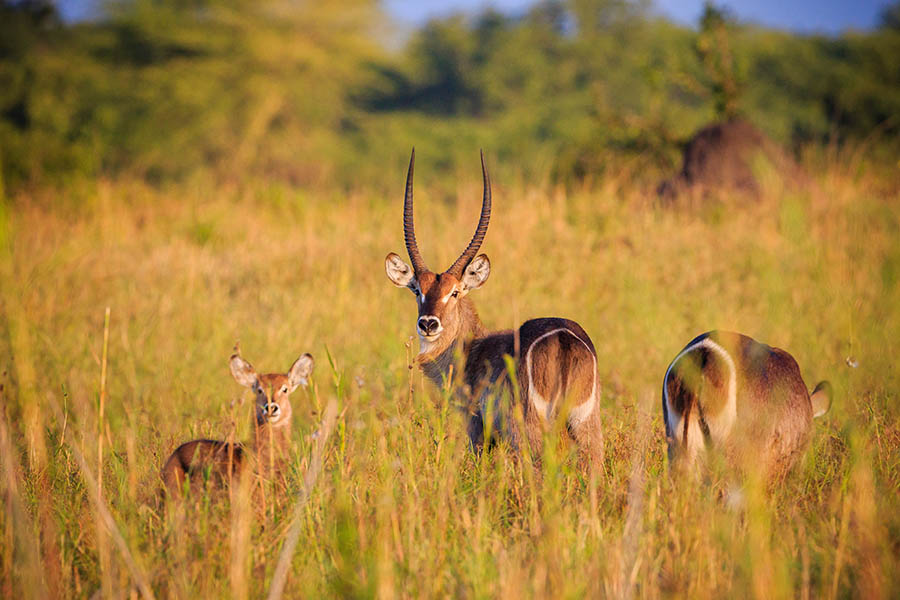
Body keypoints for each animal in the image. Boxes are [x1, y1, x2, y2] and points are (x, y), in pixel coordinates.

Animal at [384, 148, 600, 466]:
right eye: (417, 290)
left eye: (455, 292)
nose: (428, 324)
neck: (471, 347)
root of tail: (563, 338)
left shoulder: (477, 425)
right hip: (586, 425)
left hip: (529, 429)